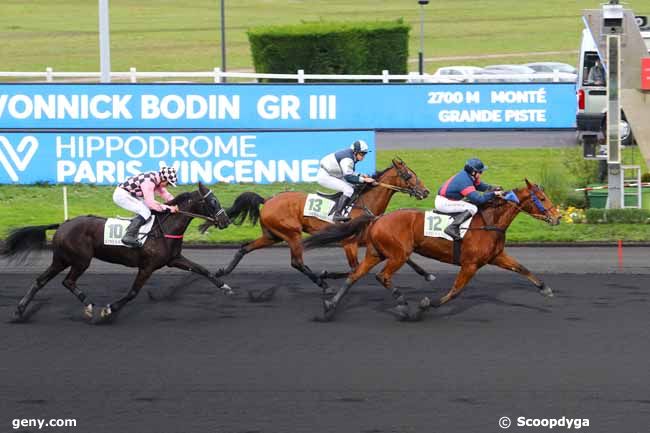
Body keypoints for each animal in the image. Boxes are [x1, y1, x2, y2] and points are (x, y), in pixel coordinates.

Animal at [1, 181, 230, 322]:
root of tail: (64, 224)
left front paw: (225, 287)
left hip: (61, 259)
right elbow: (132, 292)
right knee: (68, 281)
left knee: (41, 280)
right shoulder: (147, 267)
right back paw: (89, 305)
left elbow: (201, 269)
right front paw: (109, 309)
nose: (226, 220)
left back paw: (19, 311)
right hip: (80, 260)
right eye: (212, 201)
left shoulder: (174, 259)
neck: (164, 228)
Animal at [216, 157, 430, 292]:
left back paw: (222, 272)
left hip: (272, 235)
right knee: (297, 262)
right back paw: (322, 284)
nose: (426, 191)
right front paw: (326, 274)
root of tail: (267, 200)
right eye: (409, 175)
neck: (364, 203)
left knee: (245, 248)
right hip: (292, 234)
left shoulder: (378, 239)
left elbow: (406, 257)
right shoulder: (349, 242)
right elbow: (355, 267)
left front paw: (426, 274)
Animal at [302, 179, 560, 320]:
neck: (489, 221)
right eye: (542, 198)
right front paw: (427, 304)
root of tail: (377, 218)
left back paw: (330, 306)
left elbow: (522, 268)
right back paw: (403, 305)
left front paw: (545, 289)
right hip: (398, 254)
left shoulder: (496, 256)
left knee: (356, 275)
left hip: (377, 252)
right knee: (382, 276)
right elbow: (455, 291)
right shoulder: (470, 264)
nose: (557, 217)